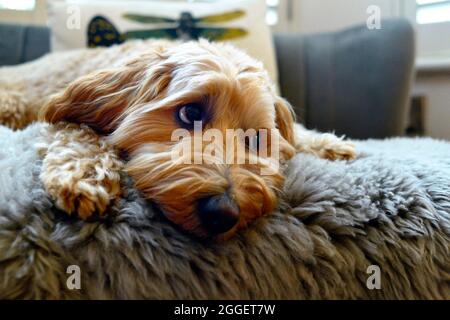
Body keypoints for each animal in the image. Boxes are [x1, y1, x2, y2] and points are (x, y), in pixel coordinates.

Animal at [1, 38, 356, 239]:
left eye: (254, 139)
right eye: (190, 112)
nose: (223, 213)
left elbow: (293, 137)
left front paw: (327, 144)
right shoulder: (64, 118)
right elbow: (82, 134)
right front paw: (84, 176)